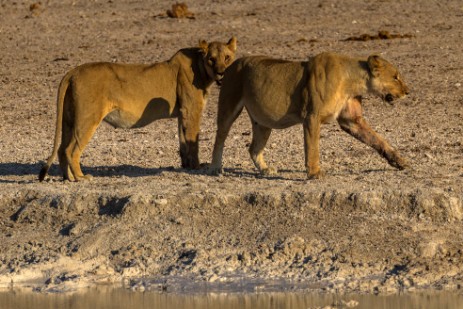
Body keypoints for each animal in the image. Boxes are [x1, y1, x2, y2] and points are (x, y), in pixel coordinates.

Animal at [38, 36, 237, 180]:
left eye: (227, 58)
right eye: (211, 59)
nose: (222, 72)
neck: (202, 70)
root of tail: (72, 72)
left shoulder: (183, 113)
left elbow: (183, 141)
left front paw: (187, 166)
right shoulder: (192, 110)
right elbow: (193, 141)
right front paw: (197, 167)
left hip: (68, 119)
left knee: (62, 149)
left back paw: (68, 178)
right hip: (87, 118)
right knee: (70, 150)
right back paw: (81, 177)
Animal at [209, 52, 410, 178]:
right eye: (395, 77)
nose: (407, 92)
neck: (352, 82)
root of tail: (232, 63)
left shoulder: (352, 121)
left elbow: (378, 140)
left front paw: (399, 161)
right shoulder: (312, 116)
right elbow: (312, 147)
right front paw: (314, 173)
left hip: (263, 122)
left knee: (253, 148)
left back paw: (265, 170)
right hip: (228, 106)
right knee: (219, 138)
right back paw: (215, 168)